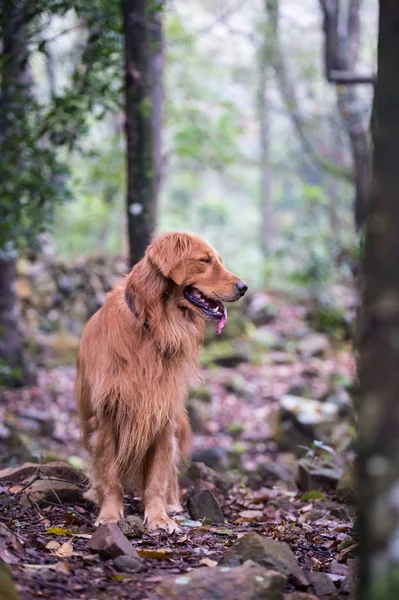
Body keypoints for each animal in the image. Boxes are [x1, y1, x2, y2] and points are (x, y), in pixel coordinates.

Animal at [75, 232, 248, 532]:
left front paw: (158, 517)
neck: (152, 325)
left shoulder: (161, 415)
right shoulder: (107, 417)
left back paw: (172, 503)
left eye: (218, 260)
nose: (244, 287)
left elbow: (157, 476)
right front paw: (109, 515)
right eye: (205, 260)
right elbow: (109, 474)